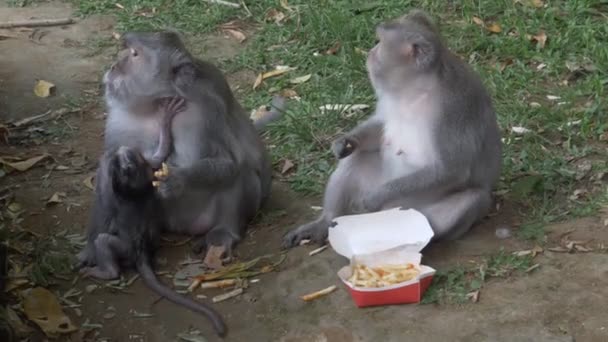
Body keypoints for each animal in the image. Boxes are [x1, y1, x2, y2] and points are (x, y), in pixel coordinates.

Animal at [282, 9, 502, 247]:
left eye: (380, 42)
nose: (371, 51)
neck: (415, 89)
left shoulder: (453, 109)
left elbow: (451, 169)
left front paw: (377, 195)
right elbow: (377, 128)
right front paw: (346, 141)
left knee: (470, 198)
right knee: (357, 159)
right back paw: (326, 221)